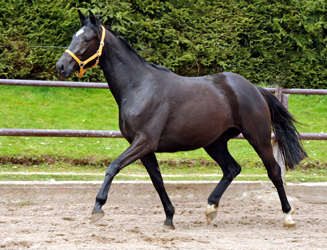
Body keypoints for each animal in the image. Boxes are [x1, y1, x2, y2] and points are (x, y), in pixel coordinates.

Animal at [55, 10, 308, 229]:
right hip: (214, 142)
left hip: (258, 137)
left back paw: (288, 216)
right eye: (73, 36)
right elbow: (157, 181)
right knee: (232, 168)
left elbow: (113, 166)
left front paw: (98, 207)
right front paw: (169, 218)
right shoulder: (144, 148)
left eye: (87, 39)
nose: (61, 66)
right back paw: (210, 209)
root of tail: (255, 89)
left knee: (274, 171)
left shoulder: (144, 142)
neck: (138, 86)